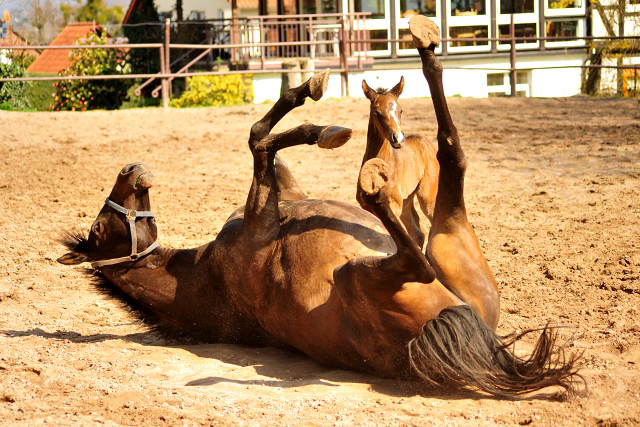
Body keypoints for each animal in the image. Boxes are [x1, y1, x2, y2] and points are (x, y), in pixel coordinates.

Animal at [360, 75, 440, 247]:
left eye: (400, 110)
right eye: (376, 111)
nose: (397, 138)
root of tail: (427, 141)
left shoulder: (394, 206)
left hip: (427, 197)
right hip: (407, 200)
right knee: (418, 232)